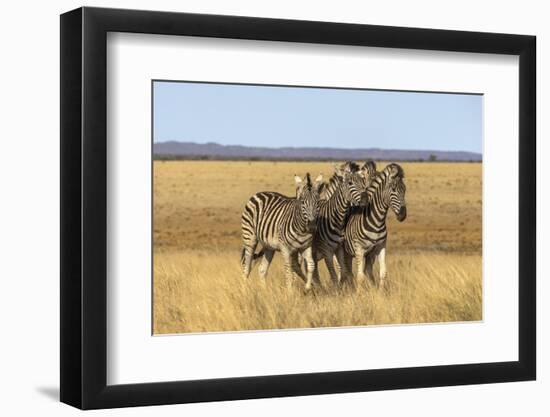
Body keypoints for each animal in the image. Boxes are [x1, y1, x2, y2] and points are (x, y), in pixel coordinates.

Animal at [340, 162, 410, 290]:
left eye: (405, 189)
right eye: (393, 190)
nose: (403, 215)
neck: (377, 221)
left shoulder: (380, 247)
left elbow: (382, 273)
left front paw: (379, 292)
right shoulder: (359, 249)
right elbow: (360, 277)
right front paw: (359, 293)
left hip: (356, 254)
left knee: (353, 271)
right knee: (343, 270)